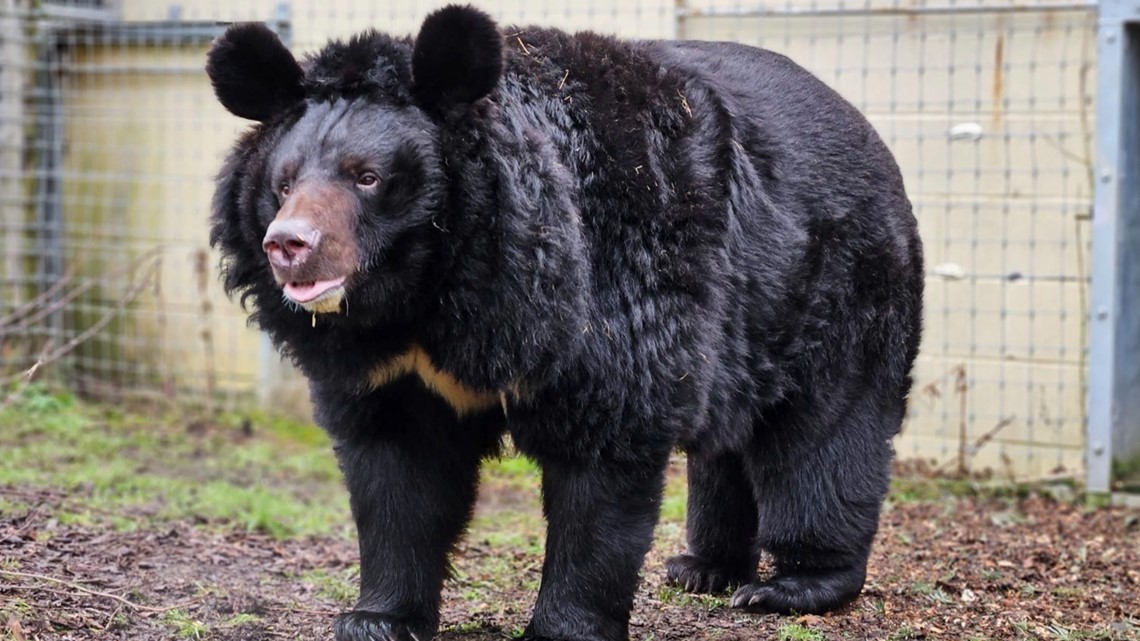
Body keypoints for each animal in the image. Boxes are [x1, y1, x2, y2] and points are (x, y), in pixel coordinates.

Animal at [206, 6, 923, 641]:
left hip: (840, 288)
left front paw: (565, 626)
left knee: (823, 437)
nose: (288, 244)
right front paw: (376, 618)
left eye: (368, 177)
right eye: (283, 182)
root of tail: (870, 132)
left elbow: (603, 462)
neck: (432, 295)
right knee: (727, 443)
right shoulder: (389, 370)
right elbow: (397, 476)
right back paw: (702, 568)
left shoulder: (610, 295)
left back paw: (791, 585)